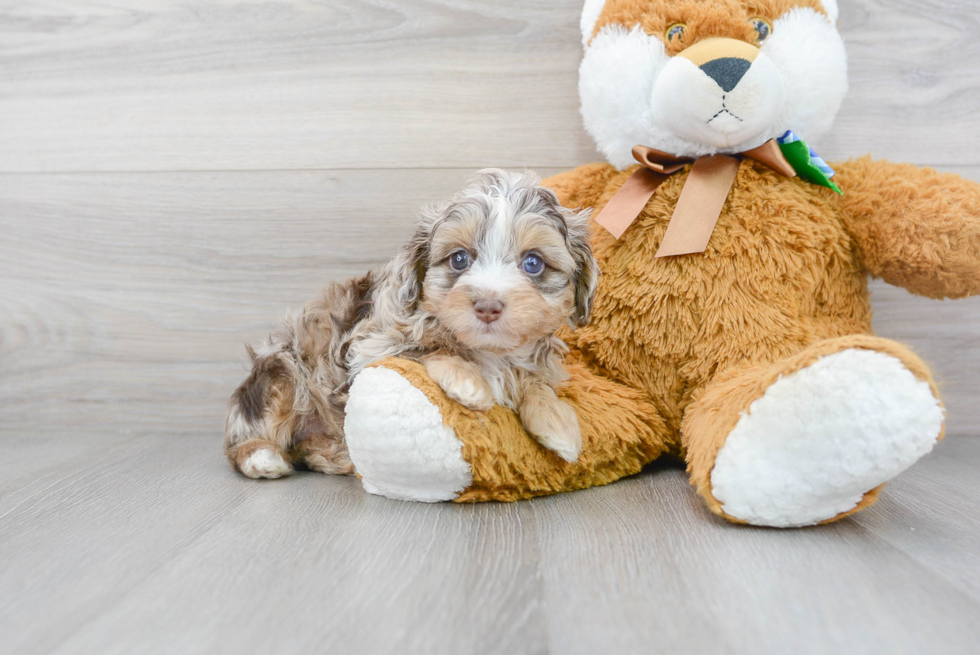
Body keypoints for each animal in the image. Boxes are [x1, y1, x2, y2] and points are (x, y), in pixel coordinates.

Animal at [226, 168, 600, 476]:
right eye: (459, 259)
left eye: (533, 263)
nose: (488, 306)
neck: (489, 350)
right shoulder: (370, 347)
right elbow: (424, 349)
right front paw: (469, 381)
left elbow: (536, 382)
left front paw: (557, 422)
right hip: (281, 372)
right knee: (248, 432)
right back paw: (262, 457)